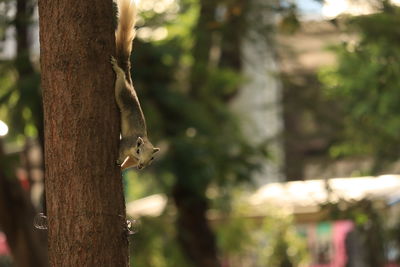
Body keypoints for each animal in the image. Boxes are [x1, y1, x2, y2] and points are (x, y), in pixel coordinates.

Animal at [111, 0, 159, 172]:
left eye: (152, 158)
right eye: (139, 150)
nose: (141, 166)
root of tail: (131, 85)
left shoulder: (132, 158)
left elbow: (129, 163)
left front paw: (123, 168)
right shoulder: (126, 144)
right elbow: (120, 152)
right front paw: (118, 160)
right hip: (123, 94)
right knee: (120, 85)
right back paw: (118, 70)